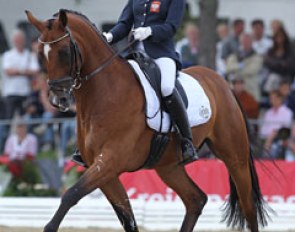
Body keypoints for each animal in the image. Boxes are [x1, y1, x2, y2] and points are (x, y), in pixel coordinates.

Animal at [26, 9, 270, 232]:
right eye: (40, 54)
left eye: (64, 52)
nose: (57, 100)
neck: (105, 93)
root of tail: (221, 82)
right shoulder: (104, 170)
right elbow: (128, 219)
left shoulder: (109, 162)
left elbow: (71, 195)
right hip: (168, 166)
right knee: (196, 199)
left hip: (234, 157)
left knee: (248, 207)